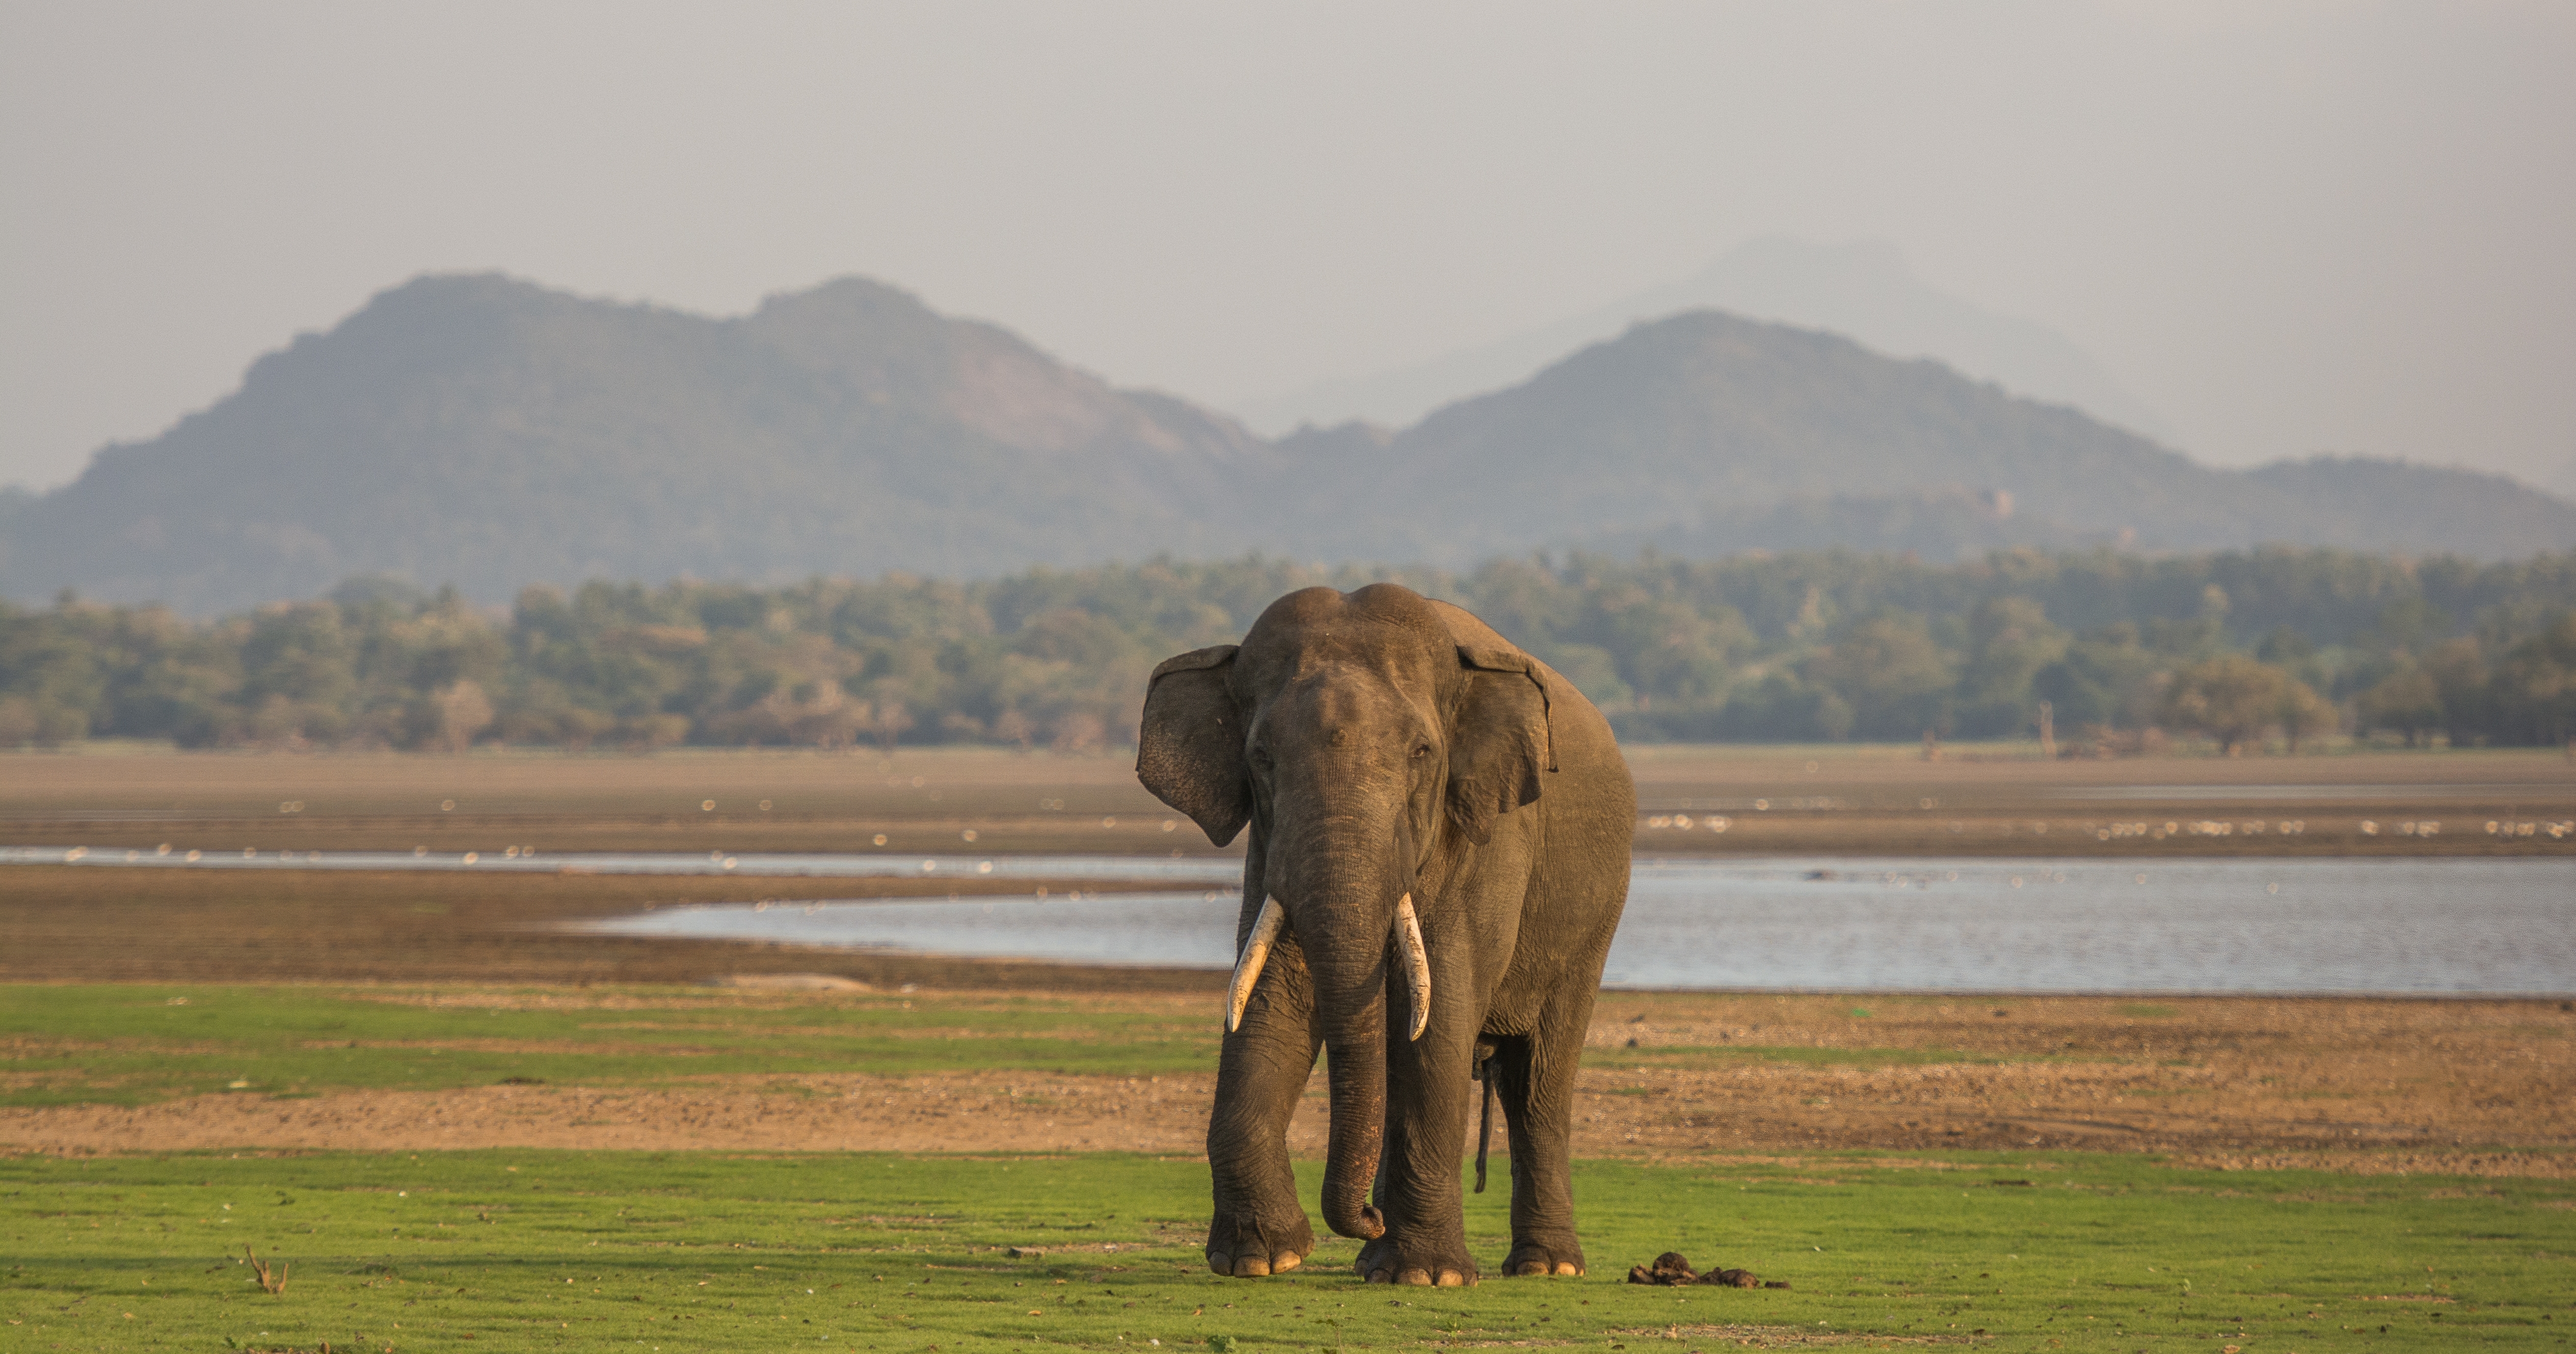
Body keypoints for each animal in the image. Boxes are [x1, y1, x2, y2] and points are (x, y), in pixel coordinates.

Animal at [1137, 582, 1635, 1287]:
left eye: (1422, 754)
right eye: (1260, 757)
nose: (1366, 1217)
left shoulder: (1486, 835)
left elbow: (1441, 1012)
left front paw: (1429, 1277)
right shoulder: (1270, 846)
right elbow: (1272, 999)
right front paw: (1261, 1259)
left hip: (1592, 917)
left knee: (1537, 1077)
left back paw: (1546, 1269)